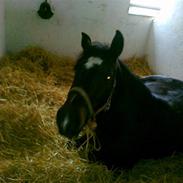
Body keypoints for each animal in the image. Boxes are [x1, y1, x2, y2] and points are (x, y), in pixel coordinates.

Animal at [55, 30, 183, 169]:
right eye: (76, 68)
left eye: (108, 76)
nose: (66, 121)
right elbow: (71, 144)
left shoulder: (118, 162)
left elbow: (91, 155)